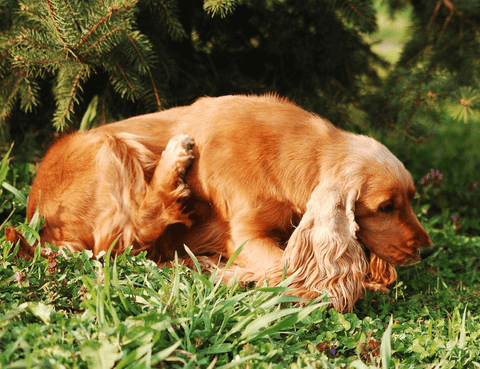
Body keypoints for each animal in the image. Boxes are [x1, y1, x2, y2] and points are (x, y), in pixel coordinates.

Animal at [4, 94, 432, 310]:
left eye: (411, 199)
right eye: (385, 207)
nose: (428, 251)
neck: (297, 154)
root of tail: (38, 218)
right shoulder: (245, 234)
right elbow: (285, 271)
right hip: (109, 147)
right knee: (128, 234)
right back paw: (175, 159)